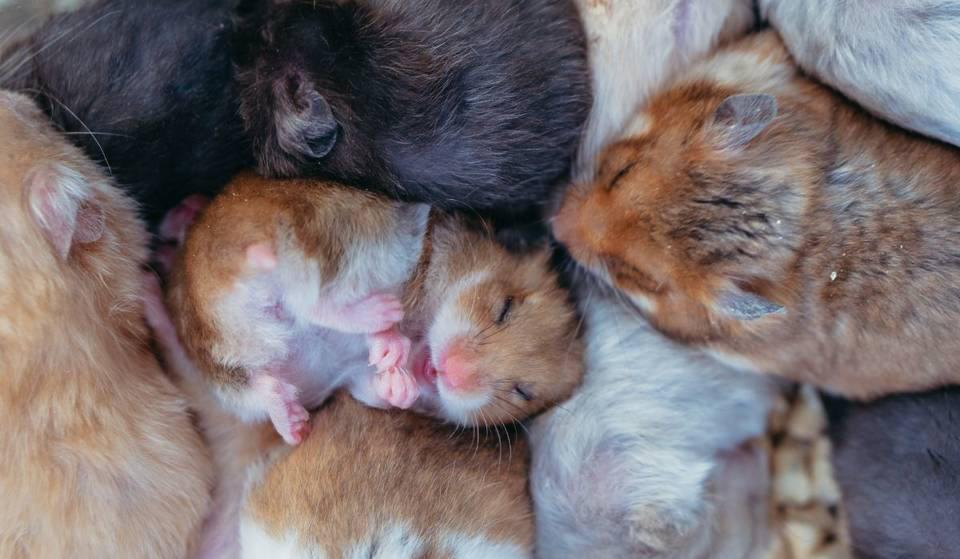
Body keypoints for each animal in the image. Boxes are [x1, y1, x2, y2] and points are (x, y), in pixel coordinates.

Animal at [163, 173, 583, 444]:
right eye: (504, 308)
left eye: (523, 392)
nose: (451, 371)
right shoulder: (421, 262)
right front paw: (395, 357)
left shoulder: (352, 382)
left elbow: (375, 390)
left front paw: (399, 385)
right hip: (345, 230)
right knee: (311, 298)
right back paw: (383, 323)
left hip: (225, 366)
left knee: (265, 382)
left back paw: (295, 423)